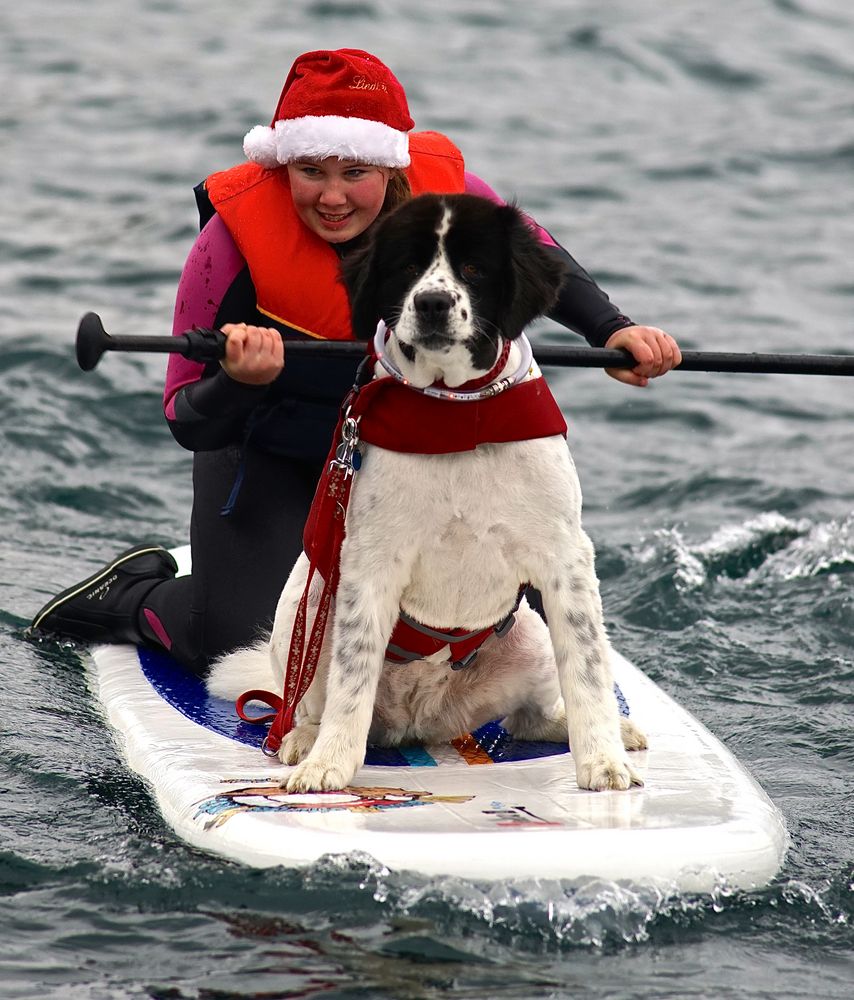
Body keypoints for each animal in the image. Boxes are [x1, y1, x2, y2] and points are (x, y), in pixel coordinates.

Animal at [209, 193, 648, 788]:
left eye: (474, 268)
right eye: (408, 266)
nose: (434, 302)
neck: (458, 414)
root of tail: (422, 716)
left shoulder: (566, 558)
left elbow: (588, 668)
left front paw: (603, 760)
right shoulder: (369, 562)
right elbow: (352, 676)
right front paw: (329, 765)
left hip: (529, 639)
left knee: (530, 719)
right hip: (311, 601)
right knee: (300, 700)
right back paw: (301, 740)